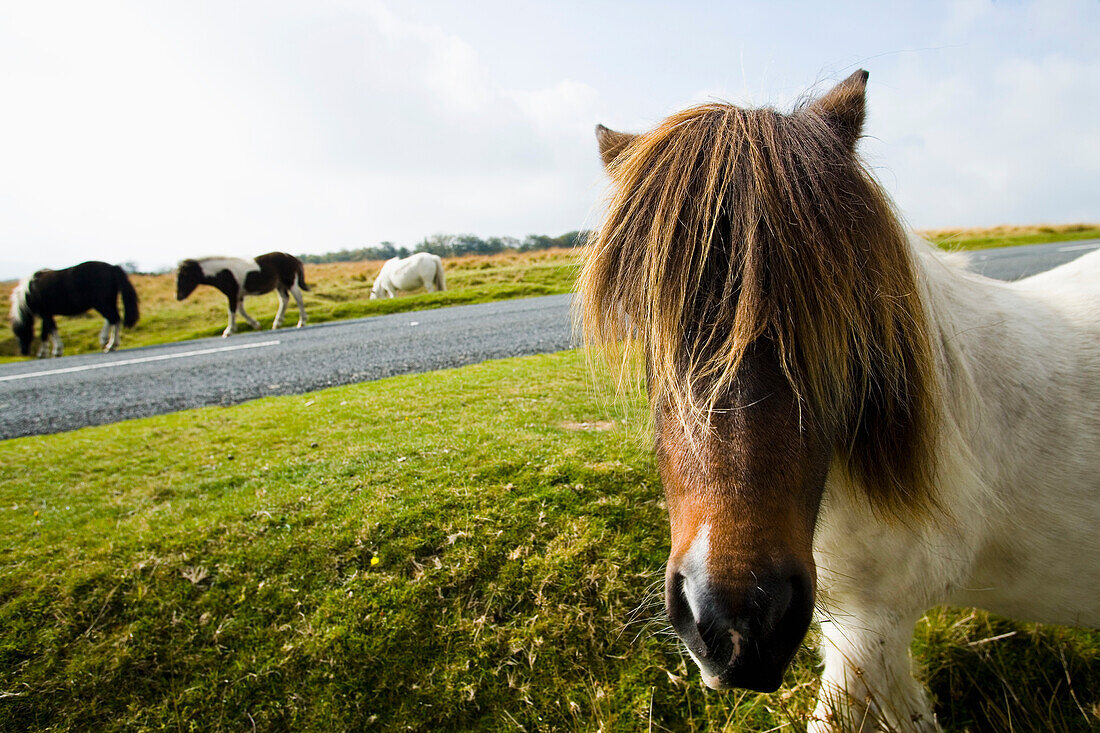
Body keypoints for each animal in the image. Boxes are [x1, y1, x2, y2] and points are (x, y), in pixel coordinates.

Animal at [8, 259, 139, 356]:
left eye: (20, 332)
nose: (23, 352)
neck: (30, 291)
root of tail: (112, 267)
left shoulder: (44, 314)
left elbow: (51, 330)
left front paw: (57, 350)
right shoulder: (46, 314)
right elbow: (45, 333)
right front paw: (43, 353)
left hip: (101, 303)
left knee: (113, 318)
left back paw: (108, 344)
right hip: (108, 301)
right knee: (113, 319)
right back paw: (109, 343)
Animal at [174, 248, 310, 334]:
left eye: (183, 276)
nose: (178, 296)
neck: (221, 272)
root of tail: (293, 258)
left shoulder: (232, 294)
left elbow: (232, 311)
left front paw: (228, 331)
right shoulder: (238, 295)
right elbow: (240, 311)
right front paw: (255, 325)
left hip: (290, 282)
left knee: (298, 298)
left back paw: (301, 322)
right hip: (280, 285)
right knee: (284, 300)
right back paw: (277, 323)